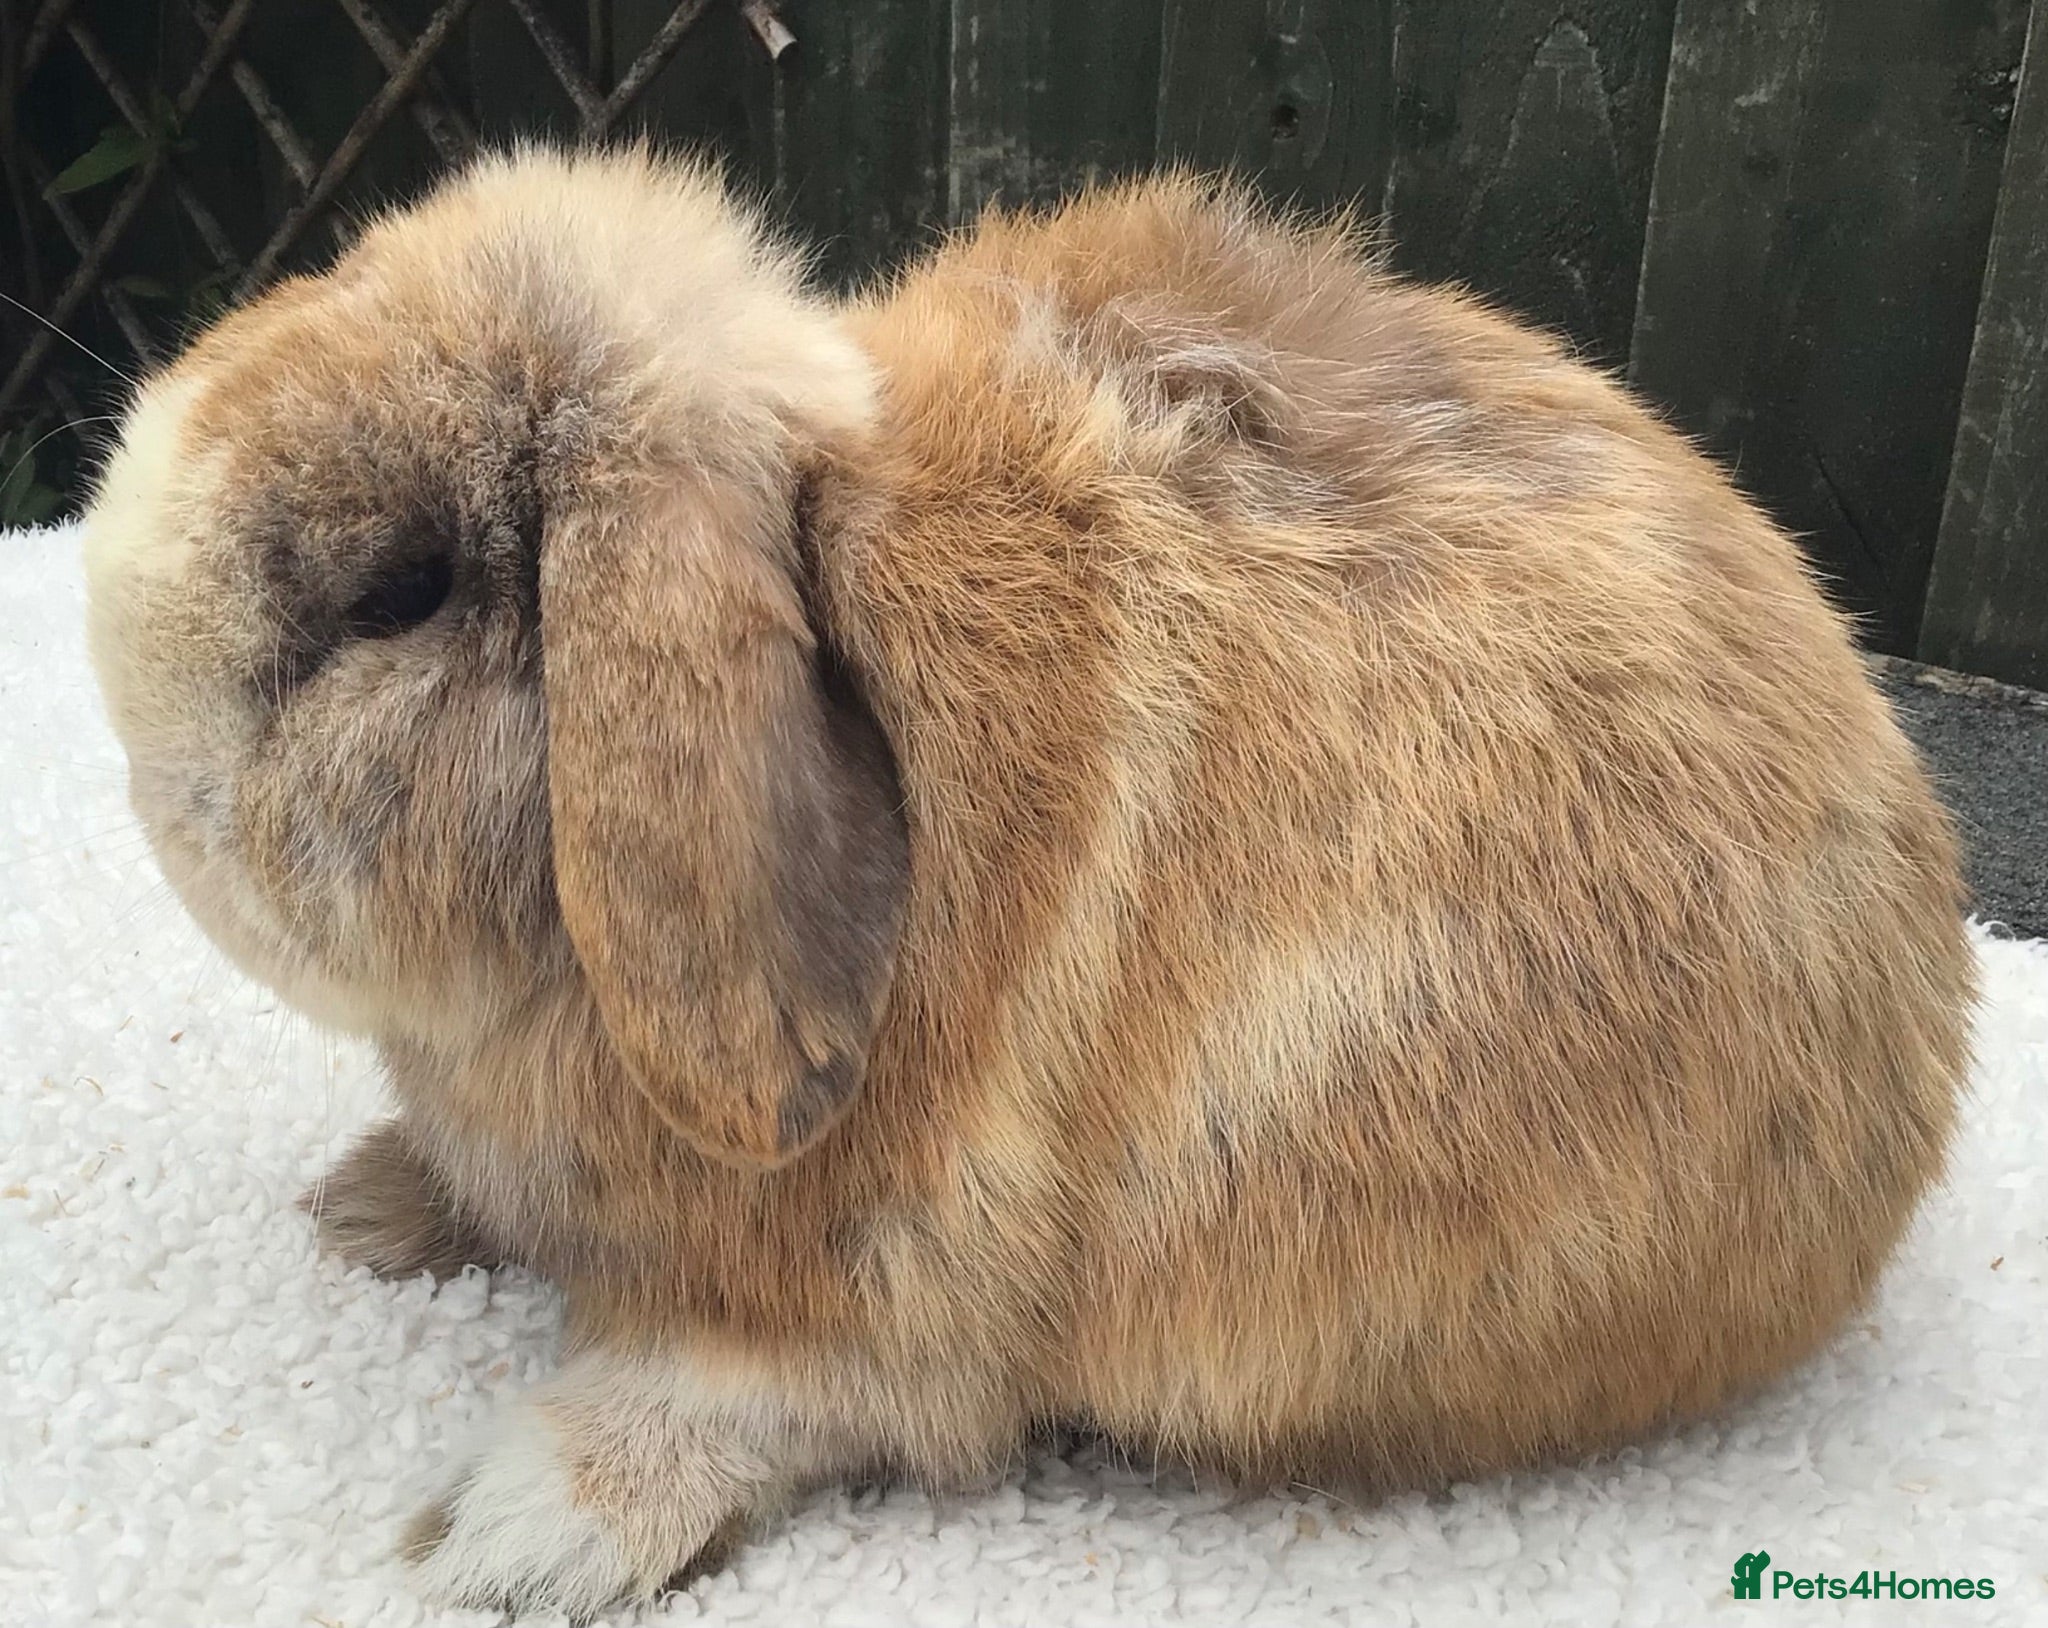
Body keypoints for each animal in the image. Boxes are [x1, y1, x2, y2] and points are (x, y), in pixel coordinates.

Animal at [82, 146, 1974, 1617]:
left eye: (396, 589)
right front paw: (370, 1205)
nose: (118, 653)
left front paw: (511, 1531)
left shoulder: (891, 1317)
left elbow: (747, 1401)